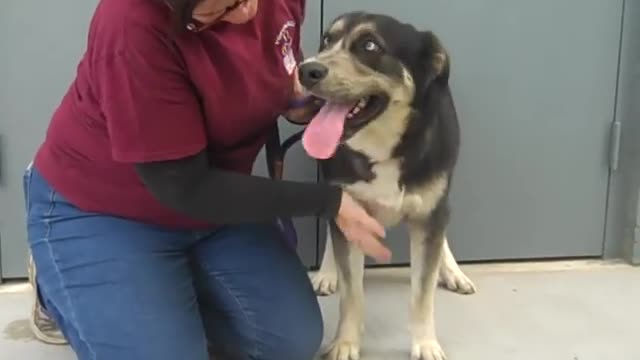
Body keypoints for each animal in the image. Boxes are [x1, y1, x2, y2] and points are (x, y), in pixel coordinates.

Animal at [298, 11, 478, 360]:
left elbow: (422, 294)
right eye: (327, 40)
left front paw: (426, 344)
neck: (382, 147)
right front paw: (345, 342)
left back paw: (452, 271)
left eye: (370, 45)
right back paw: (327, 272)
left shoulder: (430, 214)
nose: (306, 70)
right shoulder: (348, 209)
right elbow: (352, 293)